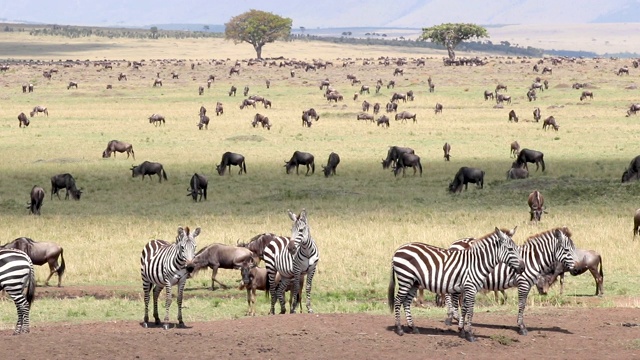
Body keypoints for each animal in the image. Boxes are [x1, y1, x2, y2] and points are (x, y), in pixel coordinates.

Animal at [388, 226, 524, 342]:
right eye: (510, 249)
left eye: (517, 248)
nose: (523, 268)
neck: (477, 263)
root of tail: (398, 250)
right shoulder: (471, 287)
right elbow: (470, 311)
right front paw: (470, 335)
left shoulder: (466, 288)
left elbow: (463, 309)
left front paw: (461, 331)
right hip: (405, 278)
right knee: (398, 300)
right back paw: (399, 329)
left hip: (413, 282)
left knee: (406, 302)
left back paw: (413, 327)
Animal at [444, 226, 580, 336]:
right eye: (567, 250)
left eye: (574, 249)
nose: (578, 269)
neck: (533, 259)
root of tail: (453, 244)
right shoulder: (523, 283)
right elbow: (522, 304)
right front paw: (521, 327)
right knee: (451, 296)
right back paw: (453, 318)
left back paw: (453, 318)